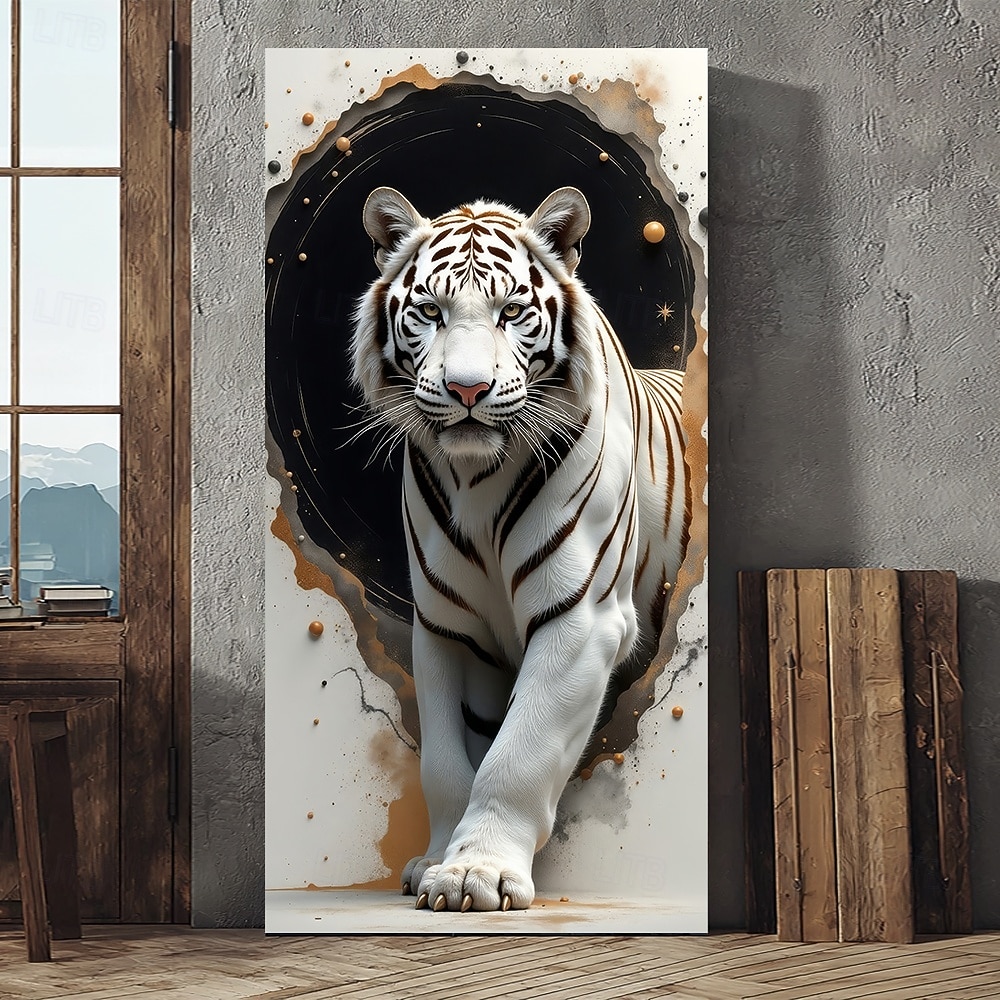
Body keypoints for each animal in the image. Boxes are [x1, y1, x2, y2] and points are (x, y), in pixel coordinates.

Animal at [350, 184, 690, 912]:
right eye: (431, 311)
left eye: (511, 311)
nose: (468, 390)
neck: (476, 478)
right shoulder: (447, 628)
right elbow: (447, 759)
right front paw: (437, 861)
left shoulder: (581, 617)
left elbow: (518, 751)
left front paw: (476, 872)